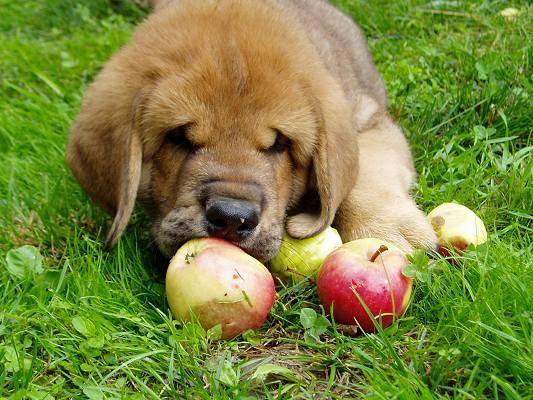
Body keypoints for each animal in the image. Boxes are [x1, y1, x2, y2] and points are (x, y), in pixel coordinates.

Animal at [65, 0, 436, 260]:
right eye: (179, 137)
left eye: (279, 144)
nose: (231, 217)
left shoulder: (370, 122)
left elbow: (364, 176)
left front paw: (387, 231)